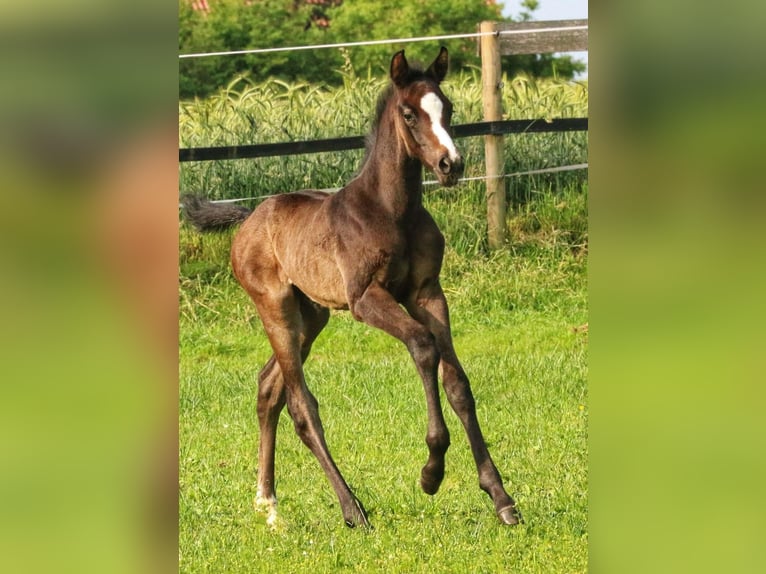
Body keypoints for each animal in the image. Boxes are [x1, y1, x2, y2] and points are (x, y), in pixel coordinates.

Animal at [182, 47, 521, 528]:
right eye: (409, 113)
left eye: (449, 108)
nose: (450, 165)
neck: (391, 210)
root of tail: (249, 217)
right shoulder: (366, 298)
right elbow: (423, 347)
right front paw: (431, 472)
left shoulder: (427, 292)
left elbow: (457, 382)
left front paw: (501, 497)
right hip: (275, 307)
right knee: (301, 406)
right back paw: (352, 509)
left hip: (311, 316)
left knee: (269, 387)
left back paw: (268, 504)